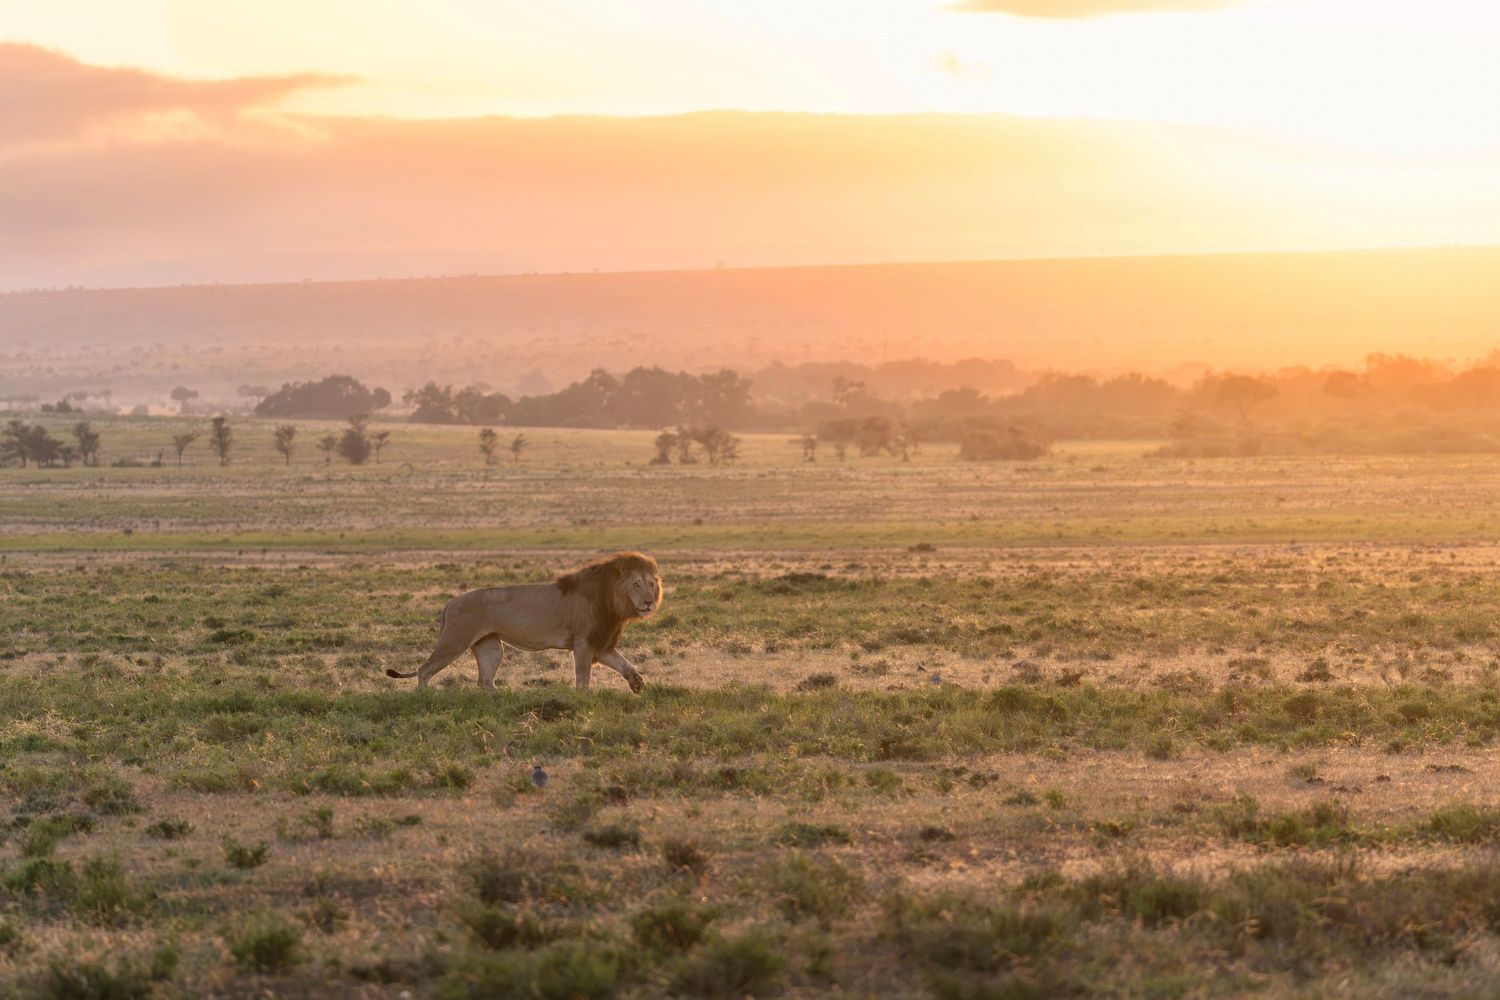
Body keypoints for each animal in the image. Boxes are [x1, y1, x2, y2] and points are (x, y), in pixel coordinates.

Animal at [385, 551, 662, 693]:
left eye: (651, 584)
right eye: (636, 585)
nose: (649, 602)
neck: (613, 602)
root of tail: (450, 602)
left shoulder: (601, 643)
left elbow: (625, 664)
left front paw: (638, 685)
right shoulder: (584, 642)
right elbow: (583, 677)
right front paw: (583, 698)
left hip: (490, 647)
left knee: (485, 681)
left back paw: (499, 701)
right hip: (454, 641)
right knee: (425, 669)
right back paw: (423, 698)